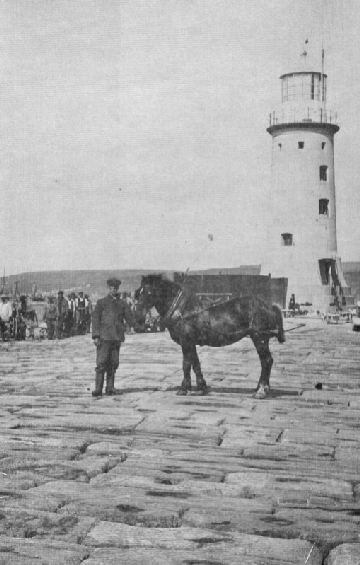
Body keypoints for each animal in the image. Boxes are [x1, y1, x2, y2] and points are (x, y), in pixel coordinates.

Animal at [134, 276, 284, 398]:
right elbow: (195, 363)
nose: (138, 315)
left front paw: (184, 389)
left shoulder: (186, 342)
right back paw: (261, 388)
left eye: (148, 292)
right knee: (266, 361)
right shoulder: (191, 343)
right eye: (138, 292)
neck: (183, 310)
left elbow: (186, 364)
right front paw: (201, 387)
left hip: (259, 338)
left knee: (266, 361)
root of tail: (269, 306)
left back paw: (261, 391)